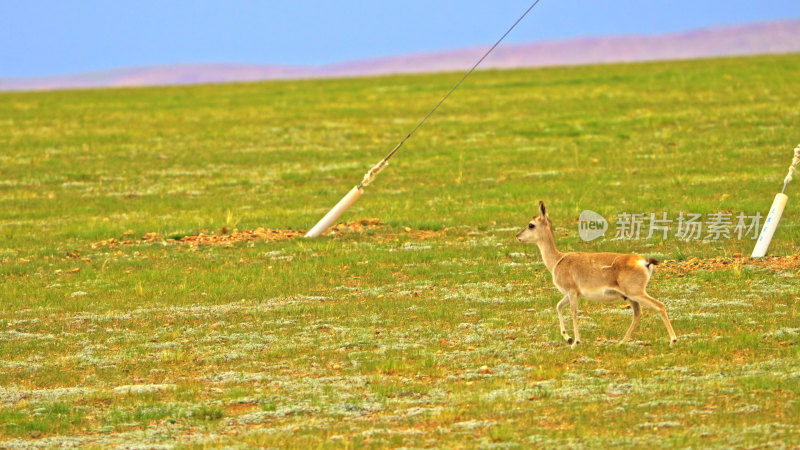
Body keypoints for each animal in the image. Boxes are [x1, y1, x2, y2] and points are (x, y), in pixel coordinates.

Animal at [516, 202, 680, 346]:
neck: (558, 260)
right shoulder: (570, 294)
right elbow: (558, 306)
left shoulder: (572, 292)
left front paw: (575, 342)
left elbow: (573, 312)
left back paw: (673, 341)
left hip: (636, 294)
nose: (518, 236)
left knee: (659, 306)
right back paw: (621, 342)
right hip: (632, 297)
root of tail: (644, 261)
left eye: (531, 224)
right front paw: (568, 338)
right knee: (638, 313)